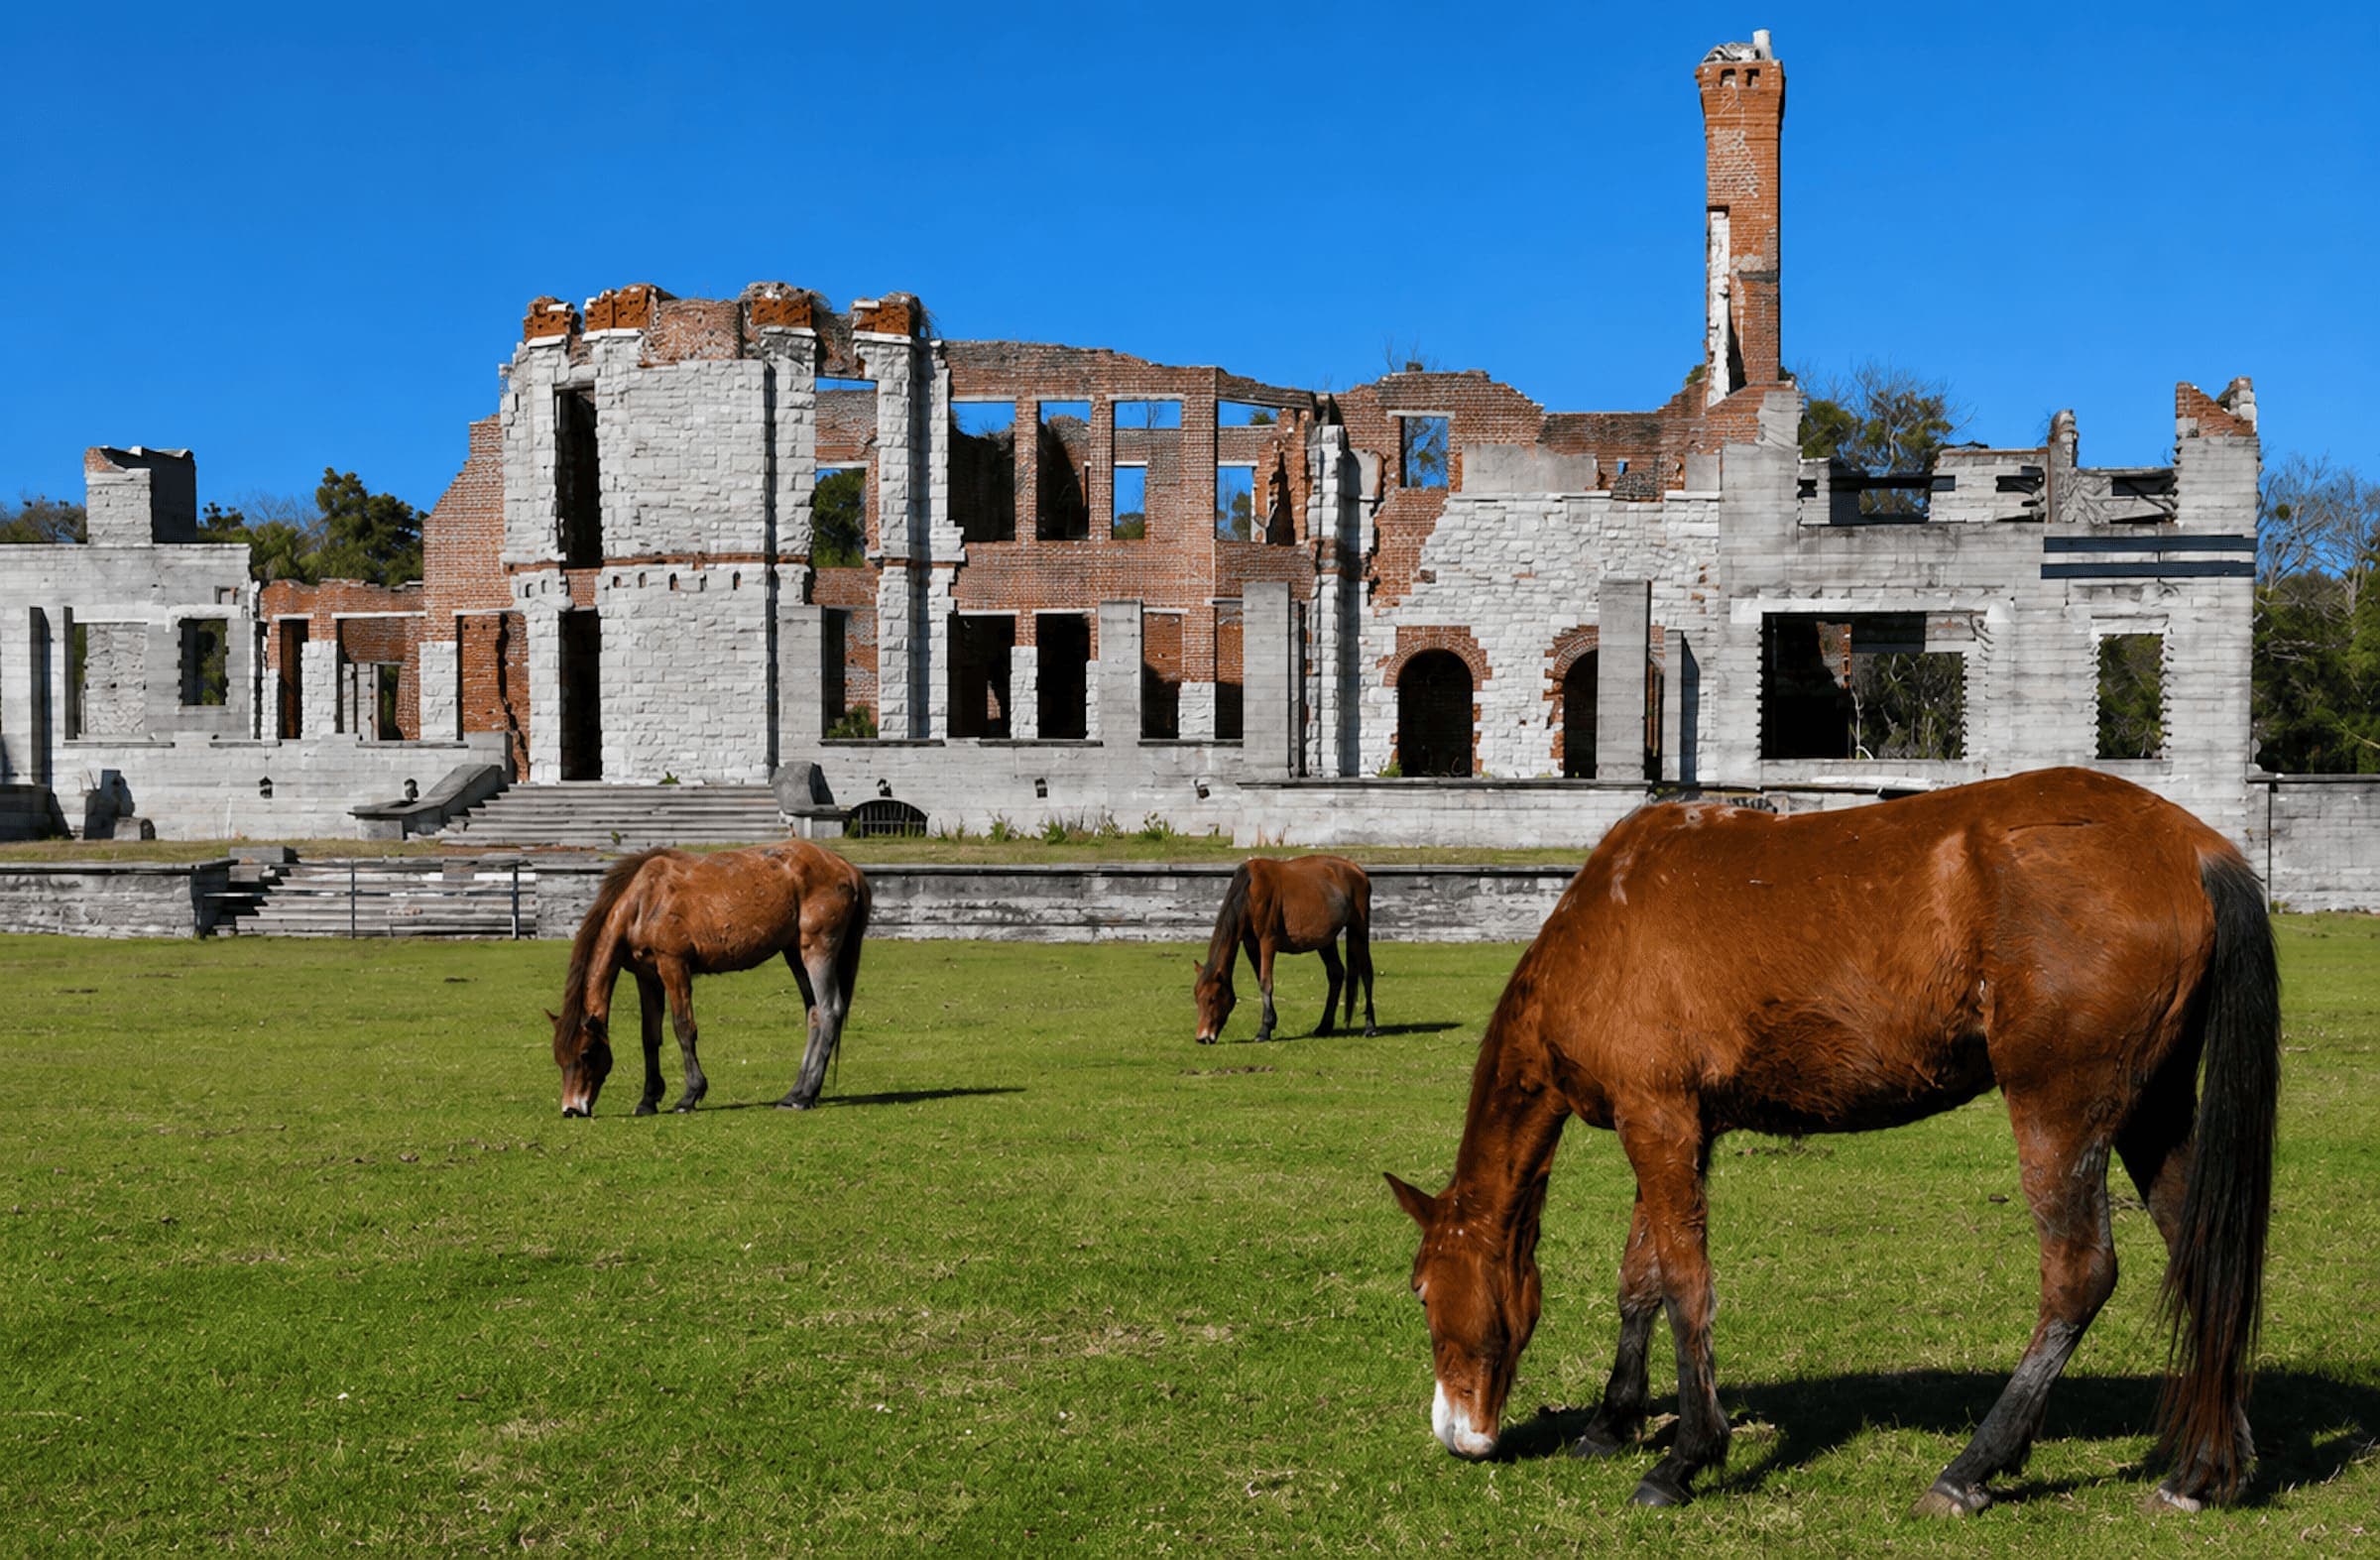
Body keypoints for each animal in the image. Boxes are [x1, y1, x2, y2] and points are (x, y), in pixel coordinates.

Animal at [550, 839, 870, 1116]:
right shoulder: (647, 977)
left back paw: (805, 1096)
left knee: (830, 1011)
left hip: (817, 949)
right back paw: (796, 1093)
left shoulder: (673, 965)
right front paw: (648, 1100)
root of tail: (848, 869)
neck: (645, 899)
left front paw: (690, 1095)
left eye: (586, 1053)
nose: (571, 1109)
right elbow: (649, 1036)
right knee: (814, 1014)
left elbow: (683, 1027)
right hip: (795, 953)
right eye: (558, 1057)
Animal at [1193, 855, 1379, 1044]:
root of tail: (1358, 871)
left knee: (1366, 972)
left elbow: (1266, 982)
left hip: (1358, 928)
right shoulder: (1251, 944)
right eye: (1197, 998)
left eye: (1212, 998)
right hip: (1326, 940)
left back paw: (1370, 1027)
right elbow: (1260, 978)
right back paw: (1324, 1026)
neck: (1250, 891)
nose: (1202, 1037)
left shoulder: (1268, 941)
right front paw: (1271, 1022)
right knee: (1336, 973)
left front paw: (1264, 1029)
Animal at [1386, 768, 2279, 1516]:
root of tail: (2189, 845)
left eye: (1424, 1291)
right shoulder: (1681, 1128)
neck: (1606, 920)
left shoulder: (1658, 1122)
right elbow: (1641, 1279)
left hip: (2062, 1111)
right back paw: (2204, 1469)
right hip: (2151, 1109)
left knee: (2079, 1276)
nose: (1455, 1431)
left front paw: (1685, 1456)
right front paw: (1612, 1421)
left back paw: (1970, 1468)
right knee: (2202, 1254)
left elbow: (1684, 1286)